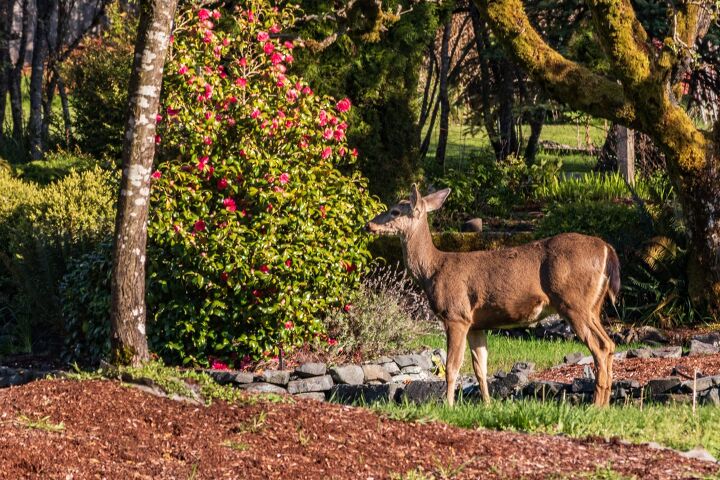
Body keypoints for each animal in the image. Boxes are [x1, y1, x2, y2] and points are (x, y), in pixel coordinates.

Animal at [366, 186, 620, 406]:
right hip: (592, 305)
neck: (432, 270)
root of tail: (607, 249)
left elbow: (453, 366)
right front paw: (487, 404)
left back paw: (596, 405)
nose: (369, 225)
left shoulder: (456, 315)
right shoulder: (476, 324)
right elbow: (481, 367)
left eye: (395, 211)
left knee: (600, 346)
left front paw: (448, 405)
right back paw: (605, 403)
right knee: (610, 343)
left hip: (573, 302)